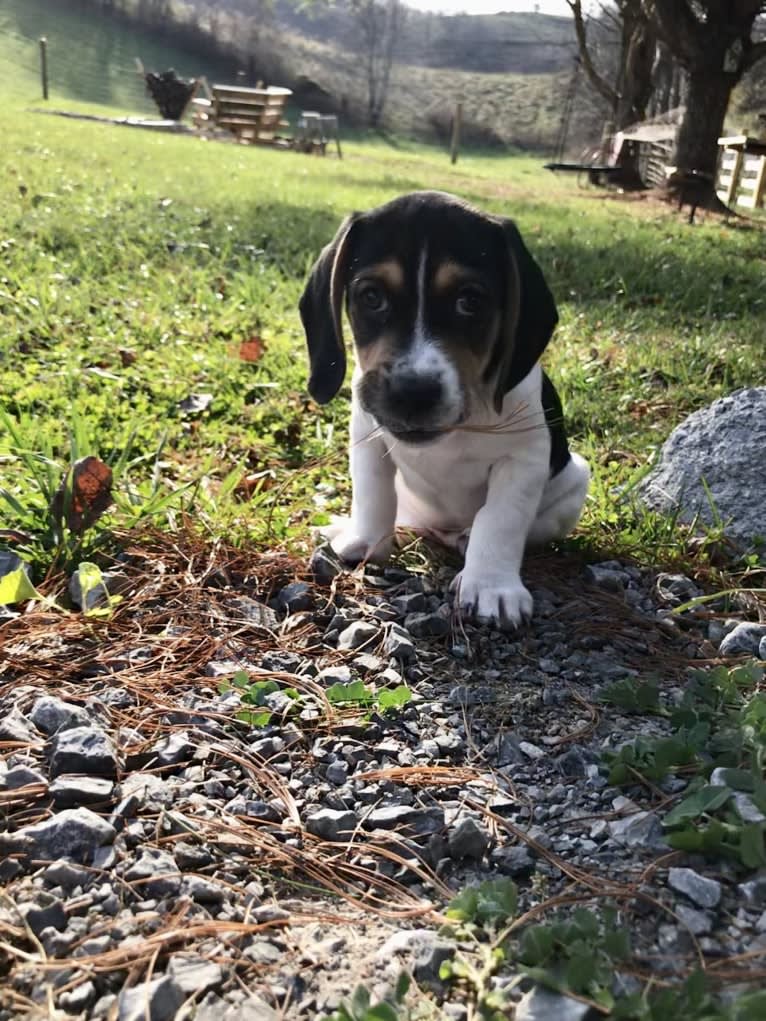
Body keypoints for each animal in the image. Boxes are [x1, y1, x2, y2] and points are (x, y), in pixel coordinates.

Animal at [302, 187, 592, 624]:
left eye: (469, 301)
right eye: (371, 297)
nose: (412, 392)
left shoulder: (522, 461)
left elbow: (501, 520)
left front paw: (491, 585)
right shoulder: (368, 437)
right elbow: (373, 495)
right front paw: (365, 540)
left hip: (575, 482)